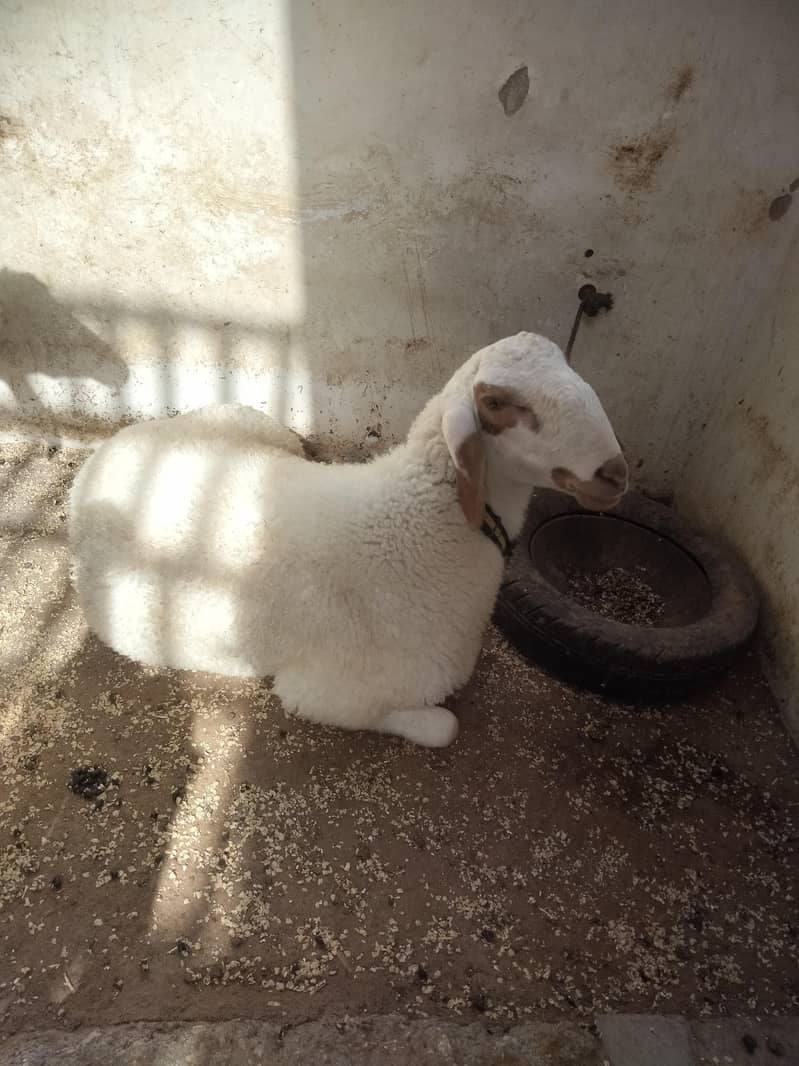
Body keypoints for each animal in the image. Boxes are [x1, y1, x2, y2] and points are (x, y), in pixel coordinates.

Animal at [68, 332, 627, 747]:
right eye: (495, 403)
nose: (615, 473)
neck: (420, 532)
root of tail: (96, 465)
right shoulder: (324, 694)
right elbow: (444, 726)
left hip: (253, 424)